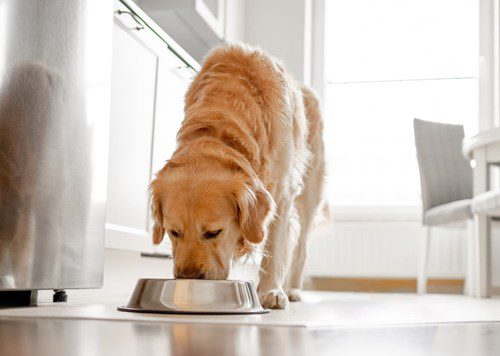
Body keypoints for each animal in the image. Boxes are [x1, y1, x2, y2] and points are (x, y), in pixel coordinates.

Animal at [150, 43, 326, 308]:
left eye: (213, 232)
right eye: (174, 232)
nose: (188, 278)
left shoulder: (283, 191)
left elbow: (275, 247)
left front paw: (271, 291)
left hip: (308, 191)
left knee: (300, 246)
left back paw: (293, 289)